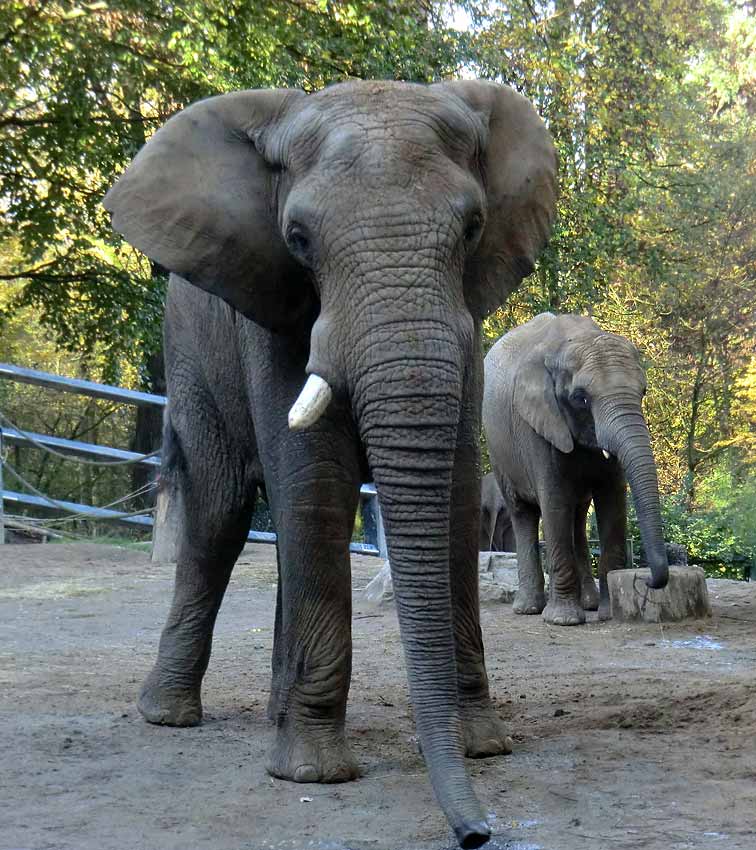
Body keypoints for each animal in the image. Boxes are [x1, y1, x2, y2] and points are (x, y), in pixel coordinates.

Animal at [105, 81, 556, 848]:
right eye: (297, 238)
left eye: (472, 228)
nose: (476, 833)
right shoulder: (272, 306)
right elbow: (314, 485)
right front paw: (314, 773)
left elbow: (457, 492)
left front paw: (484, 747)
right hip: (188, 351)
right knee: (219, 519)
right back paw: (169, 716)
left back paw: (271, 716)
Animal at [484, 312, 668, 624]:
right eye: (580, 398)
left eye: (642, 393)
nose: (646, 580)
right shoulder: (538, 424)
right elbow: (555, 501)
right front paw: (563, 620)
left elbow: (612, 500)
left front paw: (607, 614)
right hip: (499, 452)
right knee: (523, 513)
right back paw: (528, 608)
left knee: (578, 517)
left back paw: (590, 604)